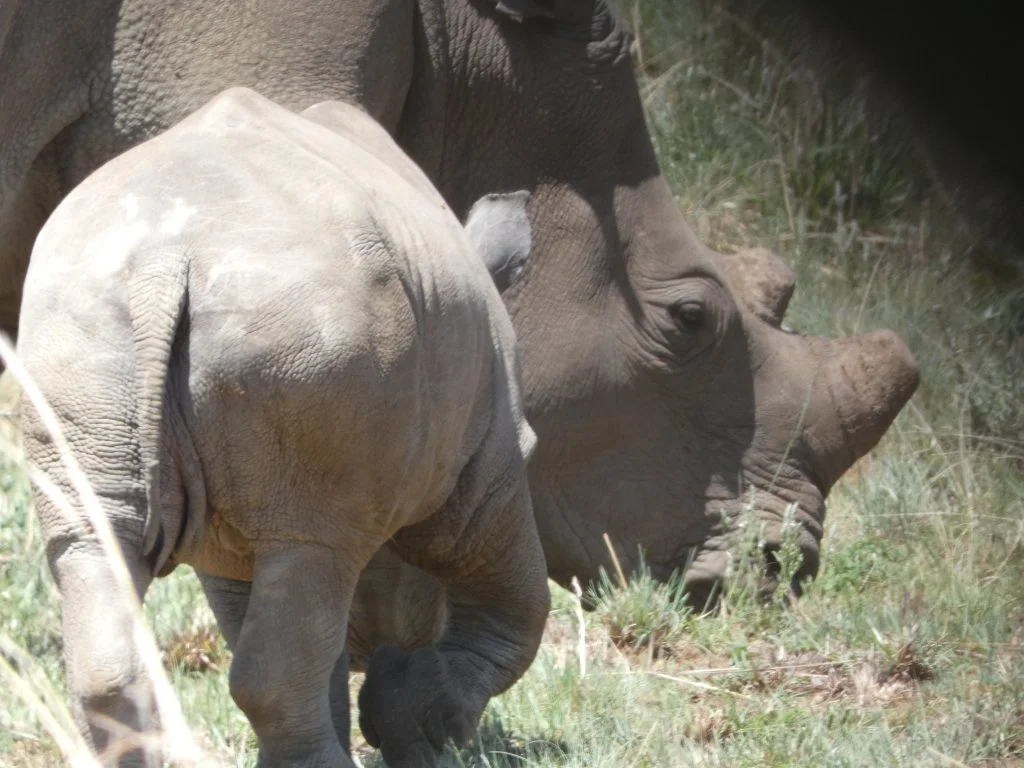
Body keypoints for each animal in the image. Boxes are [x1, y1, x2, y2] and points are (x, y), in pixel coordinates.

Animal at [17, 88, 550, 767]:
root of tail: (159, 264)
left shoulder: (245, 534)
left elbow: (304, 640)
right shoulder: (489, 462)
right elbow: (514, 600)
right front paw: (431, 727)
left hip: (78, 328)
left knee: (94, 541)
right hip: (310, 329)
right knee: (315, 550)